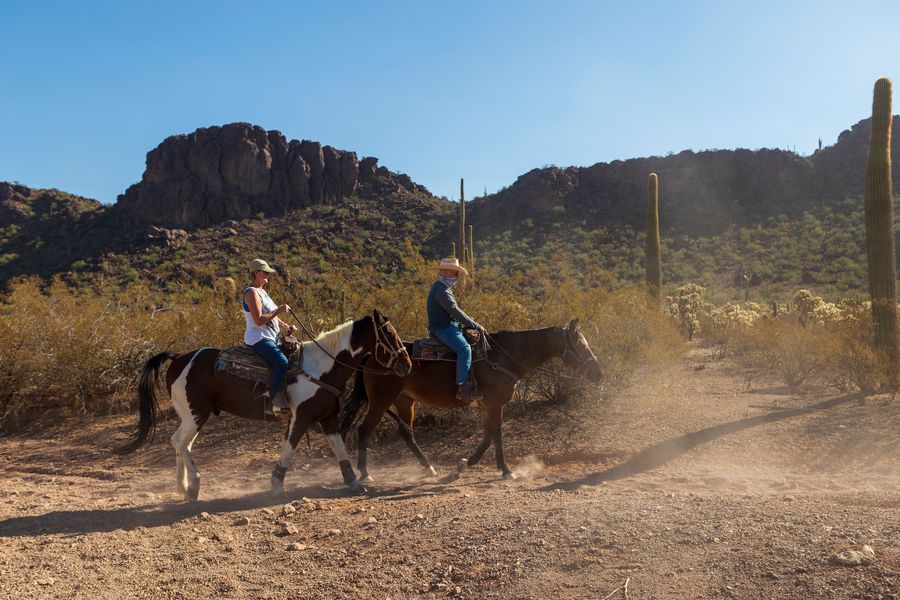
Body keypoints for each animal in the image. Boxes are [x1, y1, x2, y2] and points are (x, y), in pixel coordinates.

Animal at [117, 308, 412, 500]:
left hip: (192, 416)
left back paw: (182, 487)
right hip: (195, 414)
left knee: (182, 444)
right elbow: (289, 449)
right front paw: (277, 485)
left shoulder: (328, 417)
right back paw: (194, 486)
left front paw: (354, 482)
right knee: (179, 442)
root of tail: (179, 358)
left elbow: (340, 449)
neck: (320, 367)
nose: (406, 364)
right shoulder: (301, 416)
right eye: (388, 334)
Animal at [342, 318, 604, 482]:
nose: (598, 373)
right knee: (364, 430)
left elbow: (488, 435)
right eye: (581, 344)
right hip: (380, 402)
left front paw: (466, 463)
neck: (503, 357)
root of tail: (371, 355)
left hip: (405, 401)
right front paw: (506, 470)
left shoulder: (488, 405)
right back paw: (364, 473)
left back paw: (429, 467)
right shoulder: (496, 403)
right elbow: (496, 434)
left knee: (406, 433)